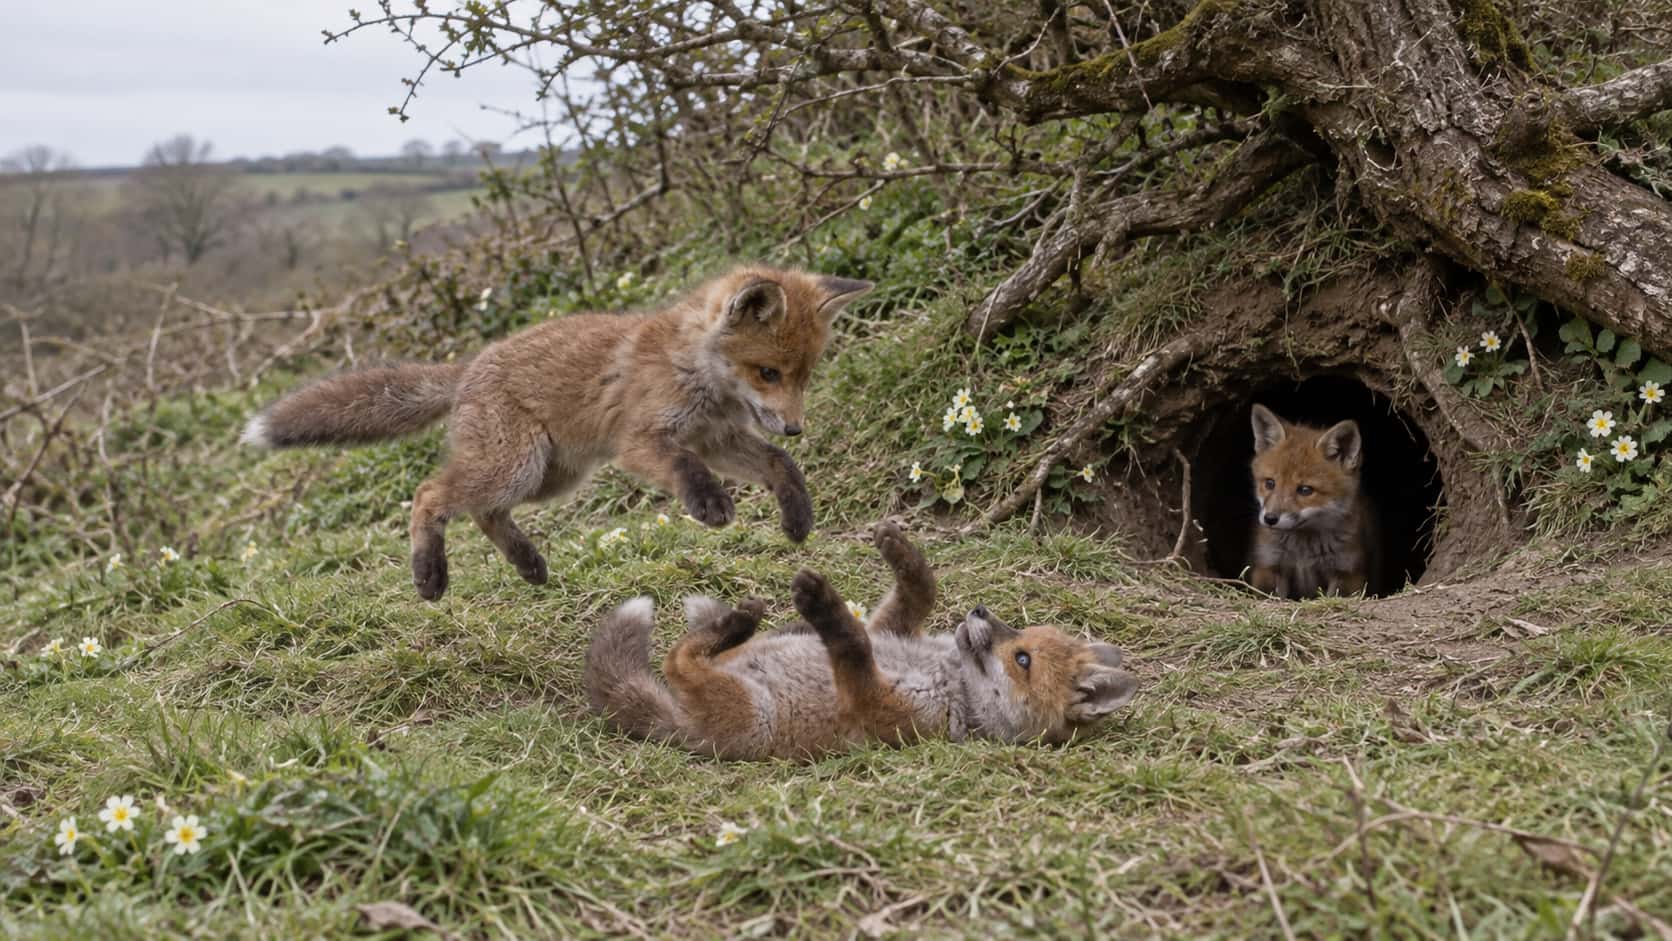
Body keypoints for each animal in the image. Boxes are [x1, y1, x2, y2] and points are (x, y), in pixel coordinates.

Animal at [241, 265, 872, 601]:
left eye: (804, 376)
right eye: (768, 373)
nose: (795, 425)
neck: (694, 369)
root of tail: (468, 368)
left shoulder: (716, 437)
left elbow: (780, 466)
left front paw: (797, 516)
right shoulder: (645, 441)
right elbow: (685, 470)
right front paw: (710, 505)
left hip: (550, 477)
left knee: (482, 512)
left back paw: (528, 565)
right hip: (516, 467)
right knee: (429, 493)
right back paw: (430, 574)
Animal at [585, 521, 1139, 760]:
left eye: (1022, 659)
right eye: (1021, 633)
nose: (980, 612)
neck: (950, 678)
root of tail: (682, 728)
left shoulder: (881, 707)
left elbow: (852, 645)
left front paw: (824, 606)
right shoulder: (889, 628)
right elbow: (919, 593)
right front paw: (901, 549)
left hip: (748, 713)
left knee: (679, 661)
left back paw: (737, 623)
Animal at [1247, 403, 1379, 599]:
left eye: (1305, 490)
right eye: (1270, 483)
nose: (1270, 519)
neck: (1304, 551)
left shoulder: (1347, 574)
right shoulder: (1268, 566)